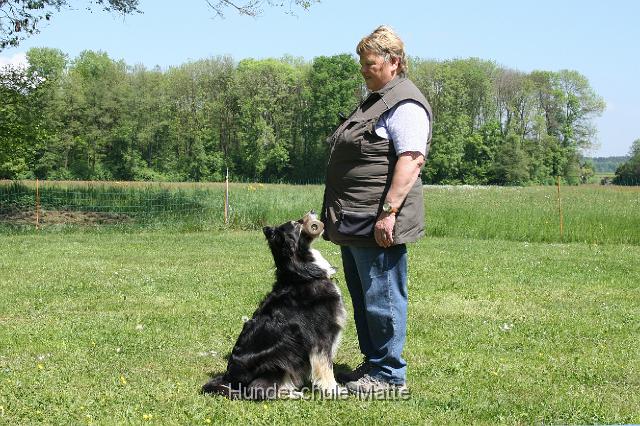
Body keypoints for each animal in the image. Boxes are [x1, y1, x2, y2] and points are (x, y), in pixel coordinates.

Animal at [204, 212, 344, 400]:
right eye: (297, 223)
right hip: (280, 357)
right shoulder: (321, 337)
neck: (302, 274)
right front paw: (333, 390)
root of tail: (228, 378)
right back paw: (293, 394)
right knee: (257, 390)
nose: (313, 211)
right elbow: (326, 367)